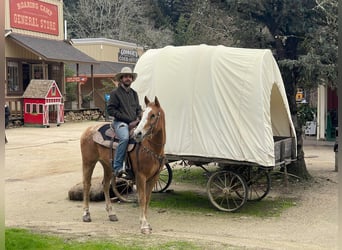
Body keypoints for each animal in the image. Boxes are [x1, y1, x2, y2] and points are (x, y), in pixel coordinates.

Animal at [80, 96, 166, 234]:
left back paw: (111, 214)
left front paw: (146, 223)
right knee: (87, 185)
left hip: (108, 166)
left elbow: (147, 199)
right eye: (143, 114)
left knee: (105, 185)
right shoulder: (140, 177)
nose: (138, 134)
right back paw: (86, 214)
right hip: (88, 162)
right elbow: (142, 198)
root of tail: (89, 129)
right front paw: (144, 225)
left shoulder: (154, 178)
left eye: (153, 115)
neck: (150, 147)